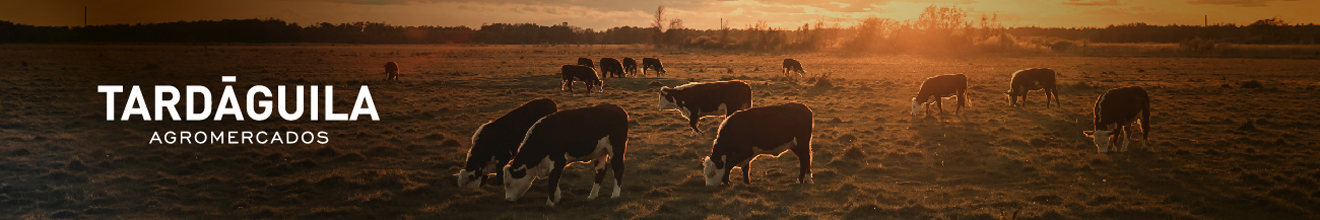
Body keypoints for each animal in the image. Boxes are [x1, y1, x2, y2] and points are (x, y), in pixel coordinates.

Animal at [501, 103, 630, 206]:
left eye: (508, 183)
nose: (507, 200)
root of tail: (618, 108)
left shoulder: (558, 159)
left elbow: (552, 181)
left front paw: (550, 203)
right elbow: (555, 180)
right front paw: (557, 198)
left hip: (616, 148)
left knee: (618, 169)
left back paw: (615, 195)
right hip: (600, 152)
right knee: (600, 172)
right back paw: (592, 196)